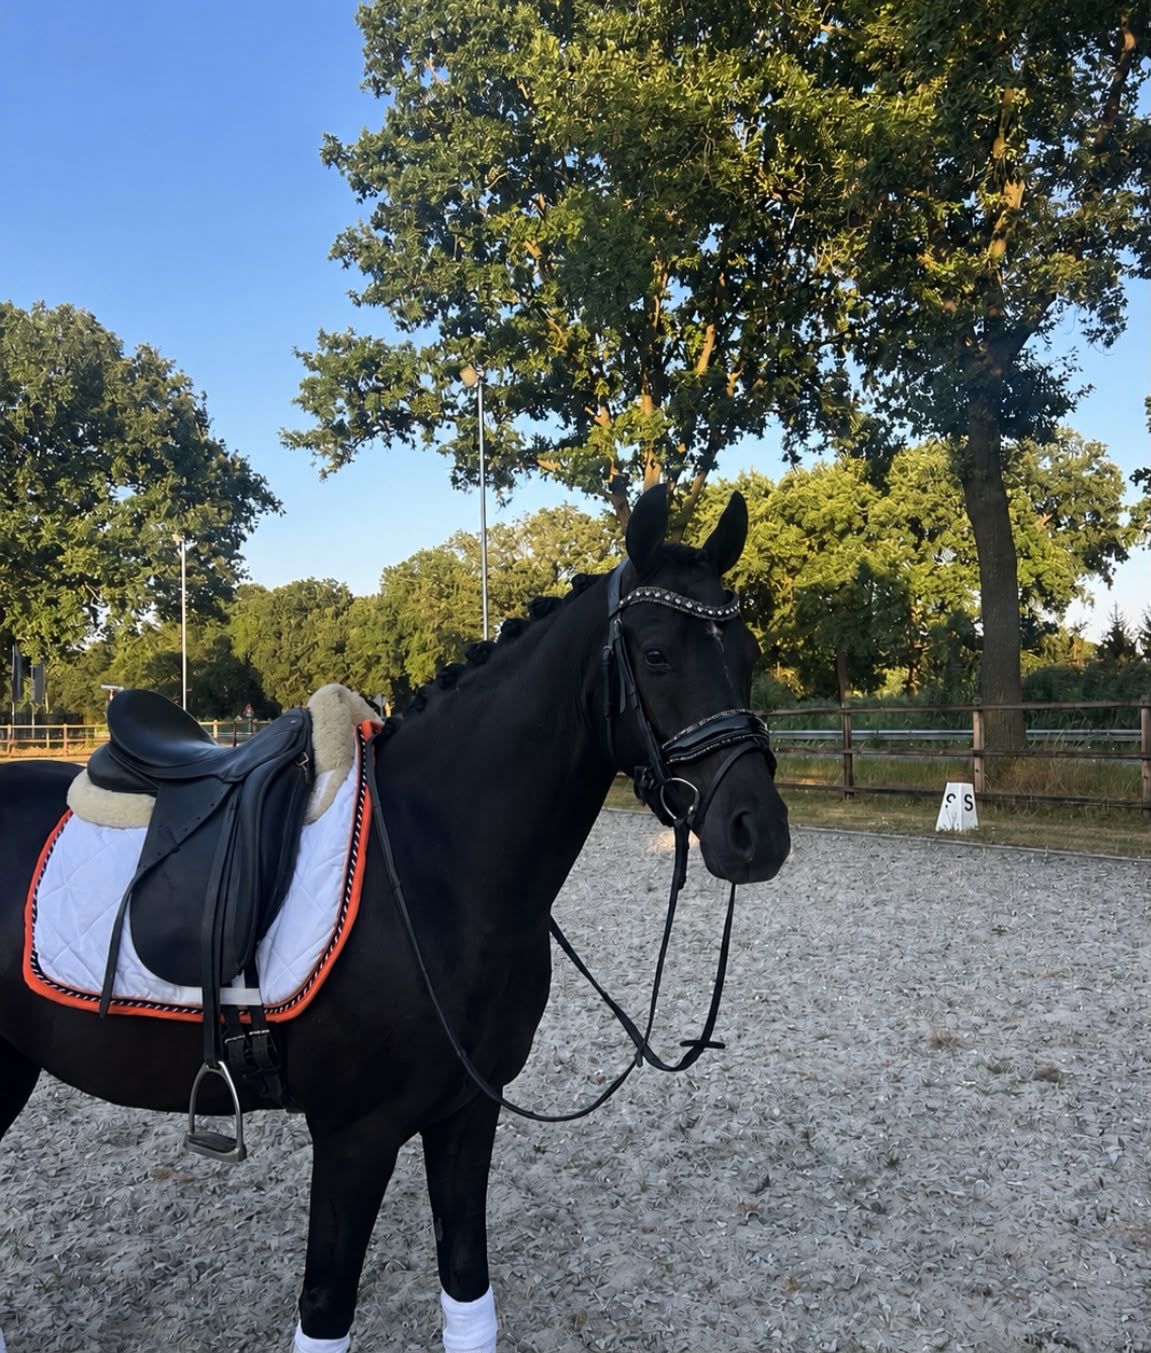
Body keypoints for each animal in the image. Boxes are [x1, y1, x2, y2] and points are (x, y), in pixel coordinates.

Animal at [0, 484, 790, 1353]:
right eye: (653, 654)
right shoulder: (355, 1136)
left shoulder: (468, 1113)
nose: (757, 831)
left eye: (747, 653)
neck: (430, 861)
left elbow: (468, 1293)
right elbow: (325, 1311)